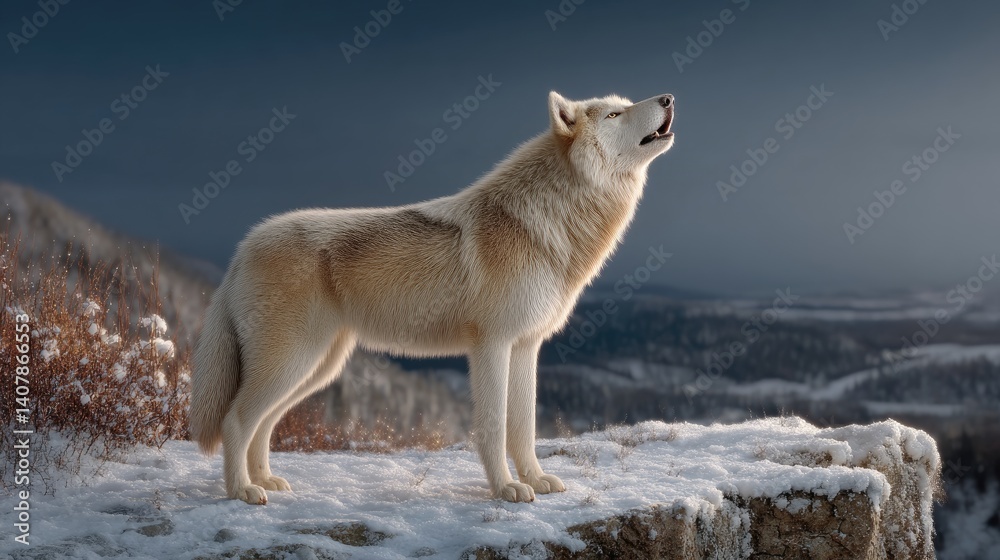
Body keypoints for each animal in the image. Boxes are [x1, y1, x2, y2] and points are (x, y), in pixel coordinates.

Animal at [189, 90, 676, 504]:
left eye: (625, 103)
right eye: (614, 114)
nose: (669, 97)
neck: (544, 224)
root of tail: (242, 248)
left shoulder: (526, 346)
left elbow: (523, 428)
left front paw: (535, 480)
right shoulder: (492, 346)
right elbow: (495, 429)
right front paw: (505, 490)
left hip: (316, 368)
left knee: (265, 423)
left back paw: (266, 480)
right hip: (294, 361)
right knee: (236, 420)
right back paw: (242, 491)